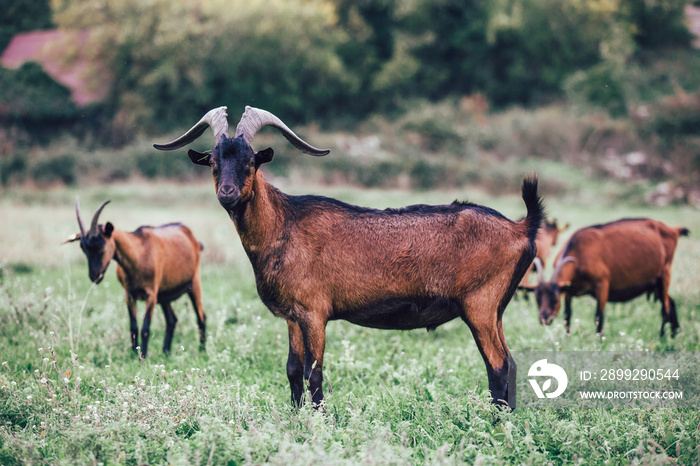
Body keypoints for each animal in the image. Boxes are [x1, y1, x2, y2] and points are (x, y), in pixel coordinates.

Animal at [66, 200, 206, 356]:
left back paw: (202, 351)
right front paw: (133, 355)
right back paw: (166, 352)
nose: (95, 276)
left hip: (194, 283)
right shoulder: (130, 294)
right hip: (164, 294)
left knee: (201, 316)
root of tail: (192, 238)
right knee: (172, 320)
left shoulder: (151, 294)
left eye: (101, 246)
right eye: (83, 249)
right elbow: (133, 327)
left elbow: (145, 328)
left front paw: (142, 356)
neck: (139, 253)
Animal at [156, 105, 544, 408]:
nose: (227, 193)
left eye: (251, 162)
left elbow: (314, 374)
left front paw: (318, 423)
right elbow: (293, 371)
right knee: (510, 364)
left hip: (480, 304)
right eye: (213, 161)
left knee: (497, 366)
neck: (284, 224)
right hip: (495, 310)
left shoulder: (314, 312)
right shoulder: (292, 316)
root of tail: (521, 228)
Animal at [520, 217, 688, 336]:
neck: (580, 252)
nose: (544, 319)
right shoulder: (569, 291)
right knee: (671, 302)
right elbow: (567, 316)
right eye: (537, 298)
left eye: (555, 298)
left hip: (665, 274)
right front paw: (567, 338)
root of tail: (673, 229)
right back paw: (674, 333)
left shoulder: (602, 285)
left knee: (665, 308)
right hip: (655, 283)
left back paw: (662, 337)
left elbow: (598, 317)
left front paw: (599, 341)